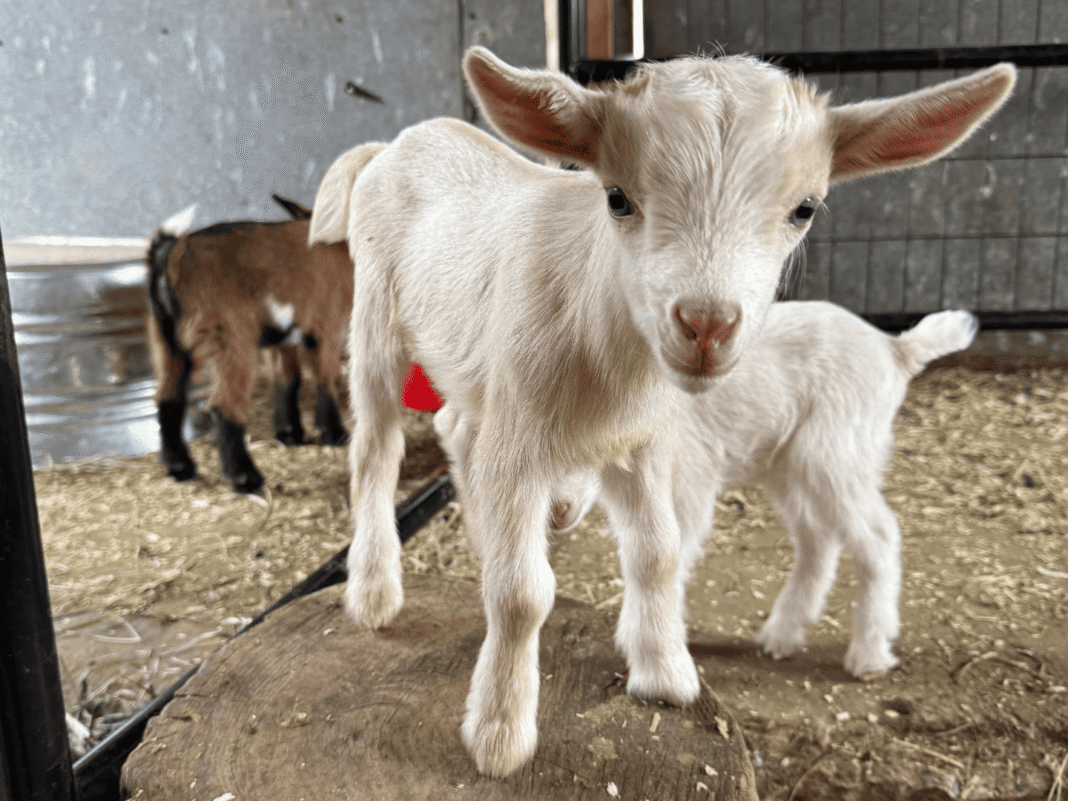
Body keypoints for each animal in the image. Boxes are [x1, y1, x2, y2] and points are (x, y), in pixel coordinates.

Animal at [146, 184, 372, 492]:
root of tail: (172, 258)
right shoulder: (325, 329)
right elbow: (326, 377)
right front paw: (335, 434)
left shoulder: (284, 339)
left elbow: (287, 379)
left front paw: (290, 434)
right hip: (229, 335)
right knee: (223, 405)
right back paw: (245, 479)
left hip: (166, 340)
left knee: (169, 399)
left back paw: (180, 468)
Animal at [439, 302, 979, 680]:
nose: (555, 512)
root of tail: (894, 348)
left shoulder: (686, 476)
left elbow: (668, 551)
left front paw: (653, 643)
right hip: (788, 463)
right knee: (817, 539)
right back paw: (783, 633)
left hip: (836, 451)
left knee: (878, 537)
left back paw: (868, 653)